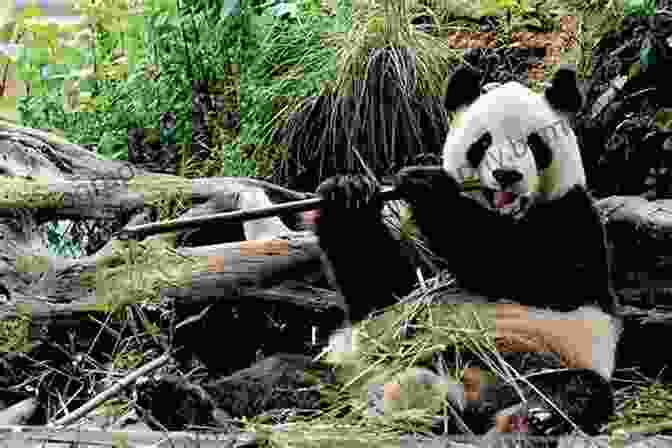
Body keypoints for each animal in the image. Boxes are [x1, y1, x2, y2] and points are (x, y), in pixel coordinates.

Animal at [316, 65, 624, 440]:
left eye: (534, 143)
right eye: (483, 142)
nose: (507, 175)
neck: (503, 217)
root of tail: (475, 395)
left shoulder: (573, 218)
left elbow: (528, 269)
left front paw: (430, 187)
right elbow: (383, 292)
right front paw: (348, 193)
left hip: (542, 361)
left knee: (579, 388)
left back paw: (534, 418)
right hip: (381, 366)